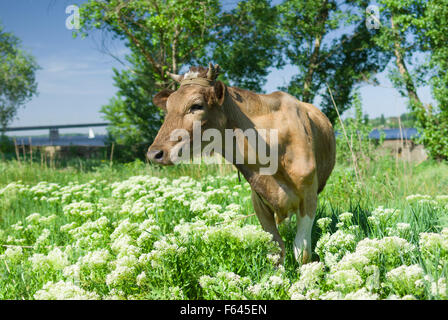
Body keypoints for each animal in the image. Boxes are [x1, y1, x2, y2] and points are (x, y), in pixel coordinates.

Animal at [149, 62, 334, 262]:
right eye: (167, 108)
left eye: (196, 105)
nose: (154, 153)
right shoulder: (258, 199)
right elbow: (276, 248)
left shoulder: (308, 196)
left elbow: (302, 252)